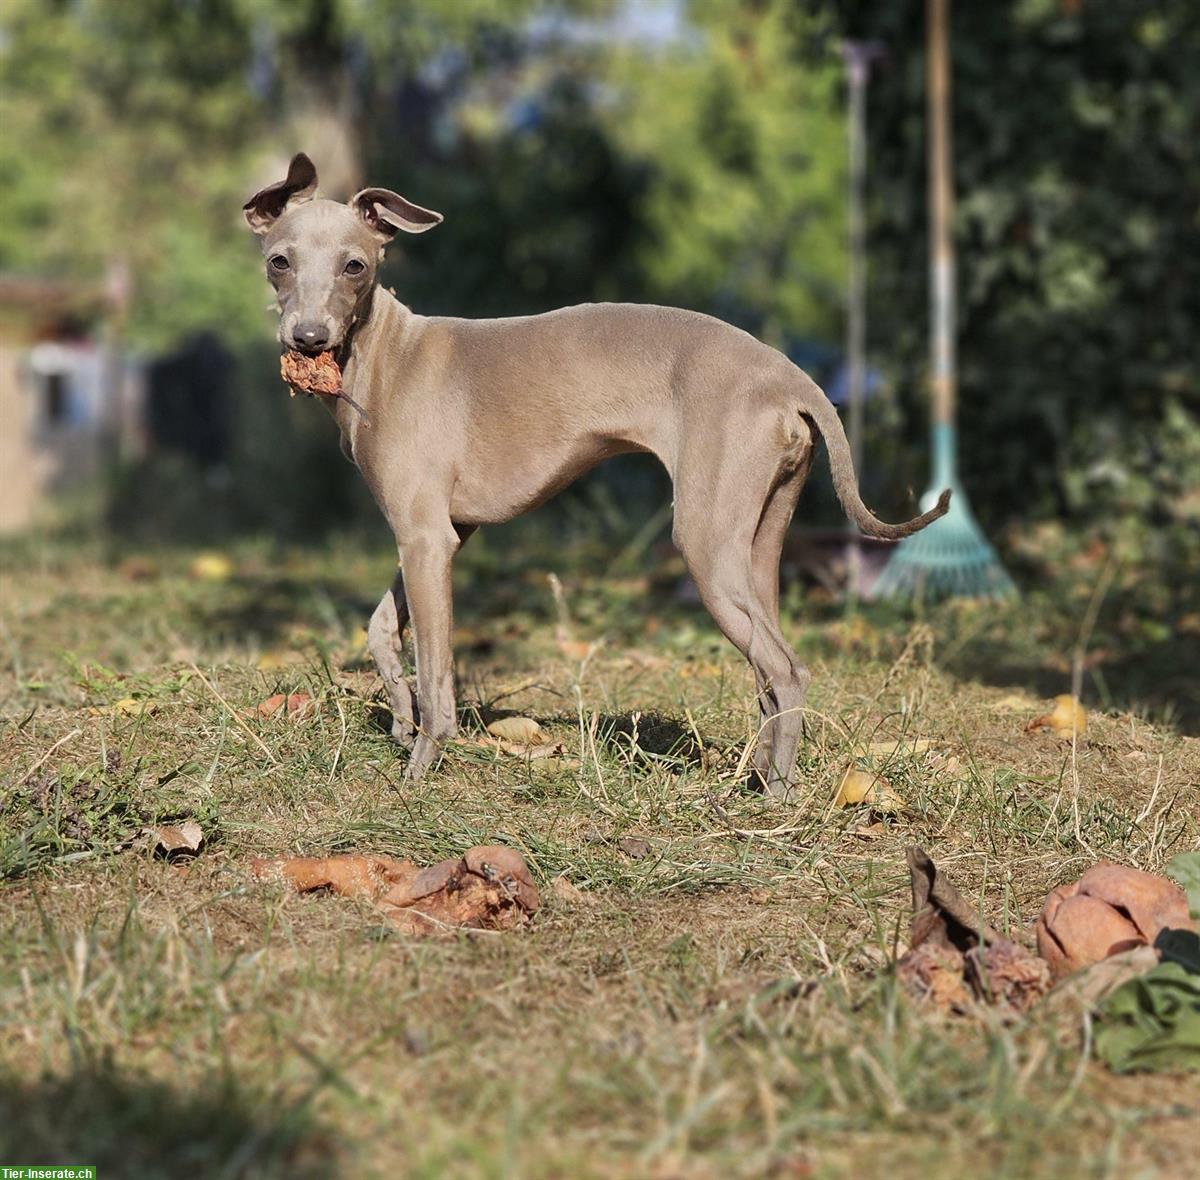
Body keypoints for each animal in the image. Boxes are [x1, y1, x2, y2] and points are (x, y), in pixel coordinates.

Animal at [243, 152, 945, 797]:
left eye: (355, 266)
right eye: (279, 261)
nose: (308, 338)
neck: (386, 355)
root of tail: (789, 376)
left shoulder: (425, 538)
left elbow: (437, 671)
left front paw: (420, 767)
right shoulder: (446, 533)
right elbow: (381, 627)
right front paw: (397, 717)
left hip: (705, 543)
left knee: (788, 668)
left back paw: (774, 797)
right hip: (760, 545)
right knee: (769, 671)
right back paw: (763, 779)